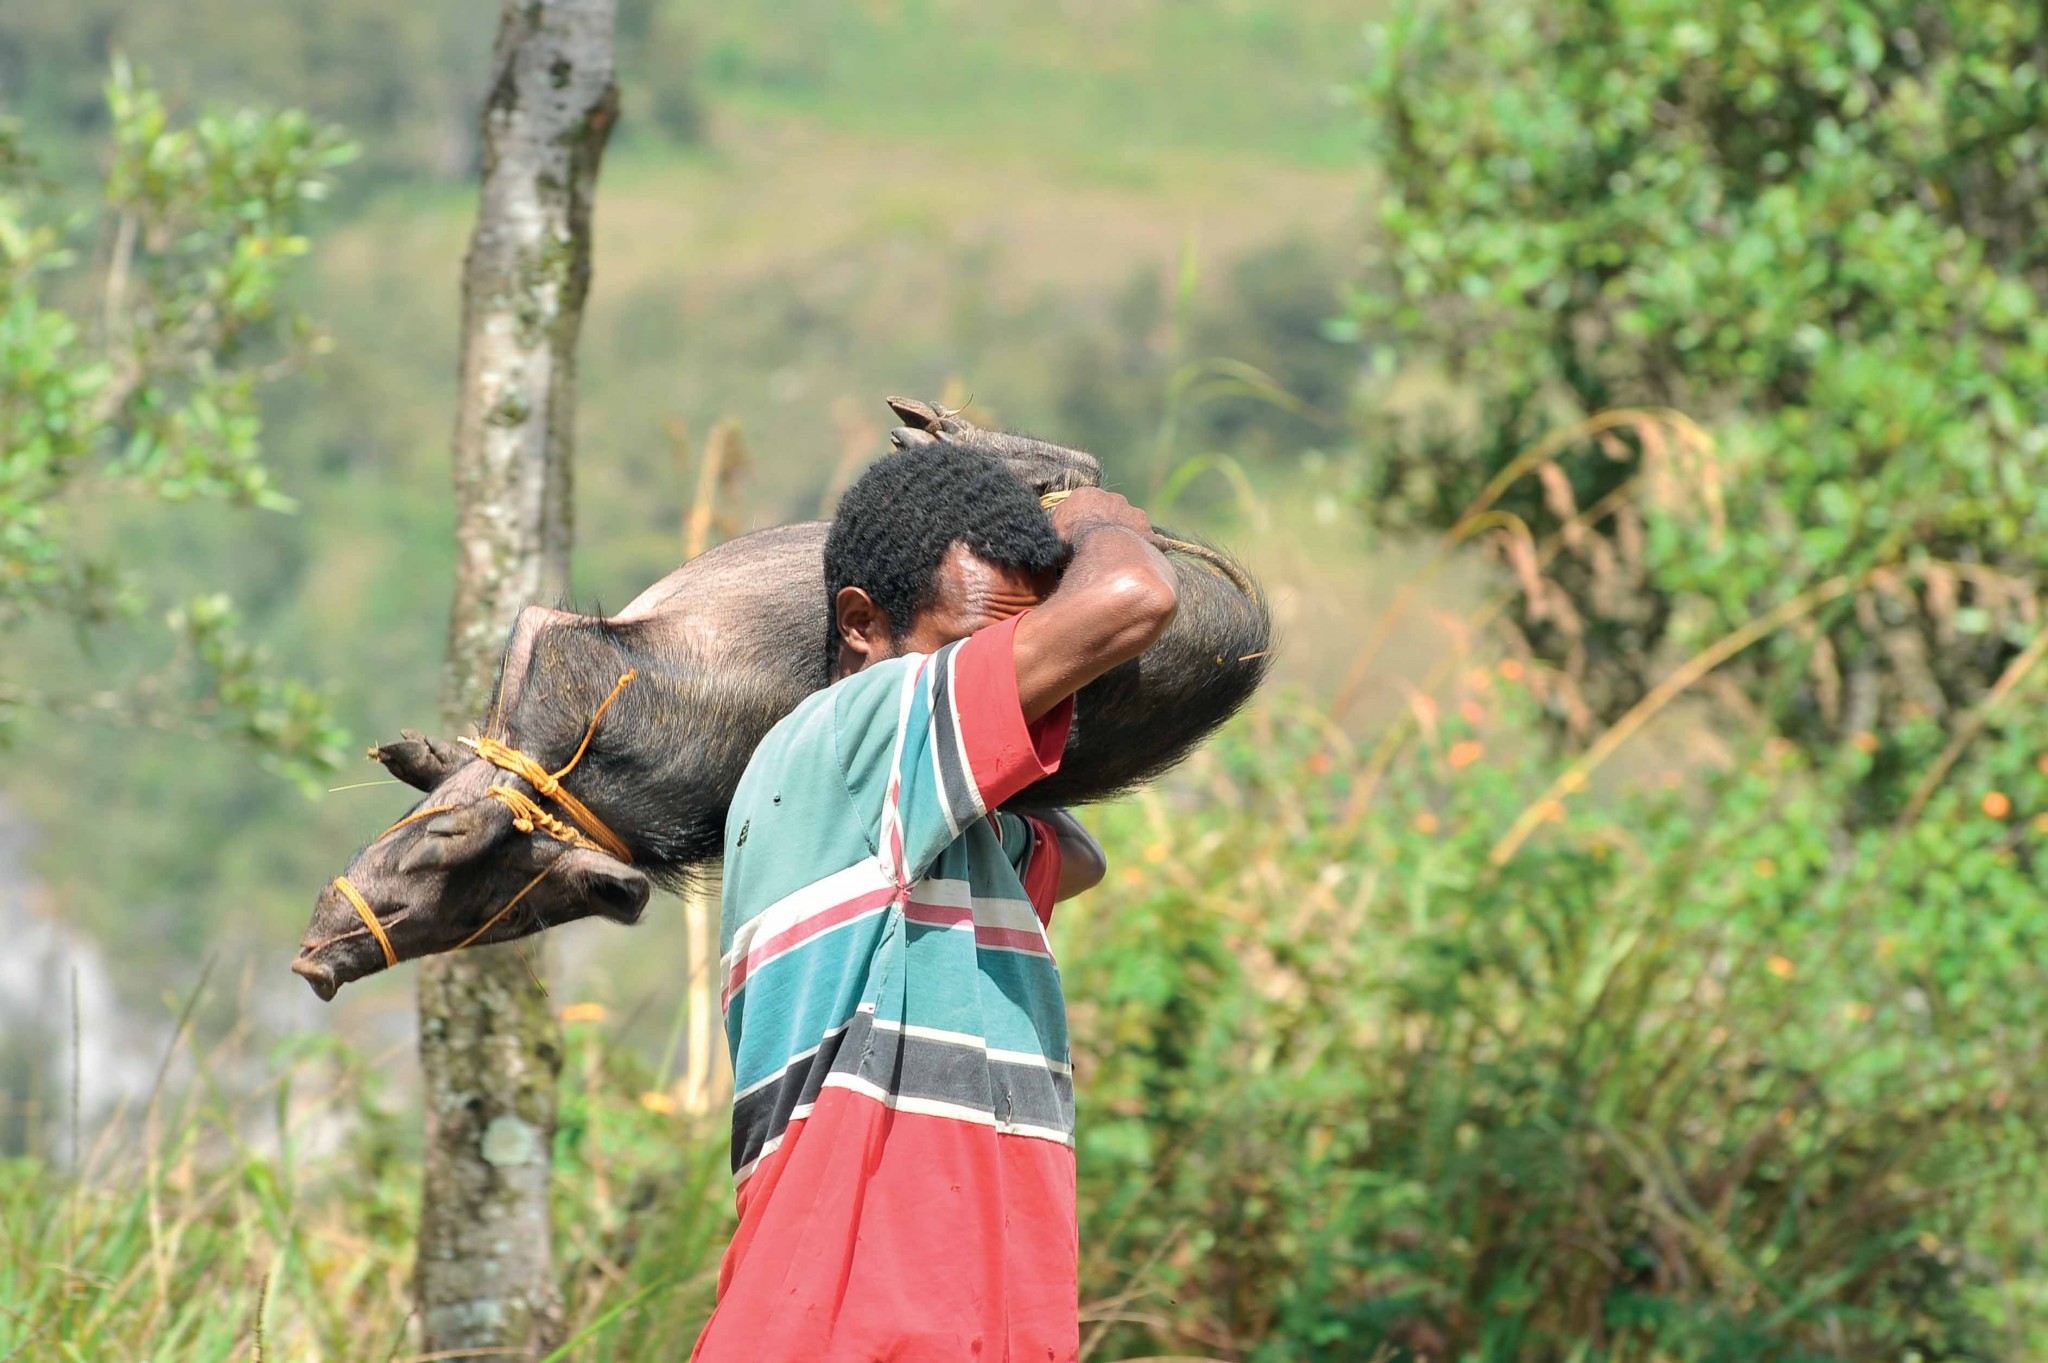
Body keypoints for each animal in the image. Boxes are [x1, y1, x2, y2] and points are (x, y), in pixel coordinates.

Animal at [296, 399, 1269, 994]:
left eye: (453, 860)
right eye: (499, 920)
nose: (315, 966)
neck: (599, 788)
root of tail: (1249, 638)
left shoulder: (570, 655)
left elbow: (534, 636)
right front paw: (411, 753)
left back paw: (927, 435)